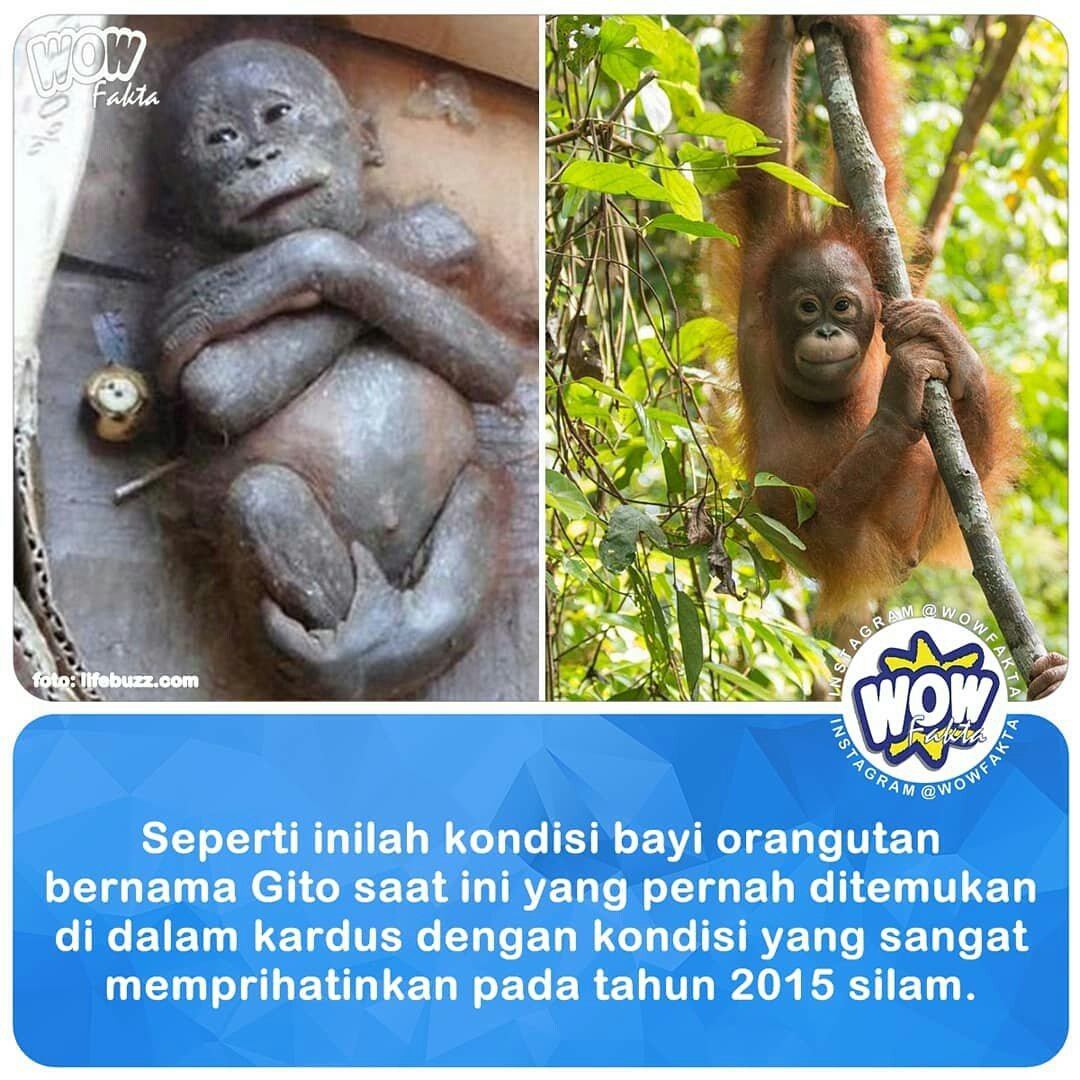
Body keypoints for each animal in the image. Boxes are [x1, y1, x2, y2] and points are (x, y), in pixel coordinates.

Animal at [152, 39, 530, 699]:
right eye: (219, 138)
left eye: (278, 113)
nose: (259, 156)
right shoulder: (178, 261)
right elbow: (214, 383)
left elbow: (496, 356)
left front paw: (381, 243)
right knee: (262, 496)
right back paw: (355, 653)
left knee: (481, 490)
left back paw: (389, 640)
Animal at [708, 16, 1066, 699]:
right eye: (806, 307)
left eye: (844, 306)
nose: (826, 331)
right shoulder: (758, 288)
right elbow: (811, 523)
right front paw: (899, 400)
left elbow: (825, 172)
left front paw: (835, 28)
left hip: (931, 522)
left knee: (965, 474)